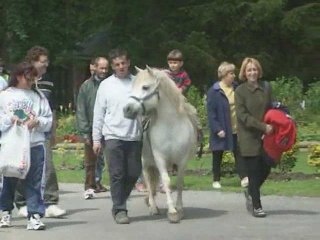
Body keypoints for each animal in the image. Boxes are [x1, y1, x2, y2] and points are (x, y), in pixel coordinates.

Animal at [123, 66, 196, 223]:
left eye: (145, 87)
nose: (126, 109)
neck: (171, 126)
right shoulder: (160, 158)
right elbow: (166, 181)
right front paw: (172, 211)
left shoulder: (182, 160)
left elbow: (179, 182)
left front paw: (180, 209)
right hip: (145, 164)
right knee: (149, 184)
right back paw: (153, 208)